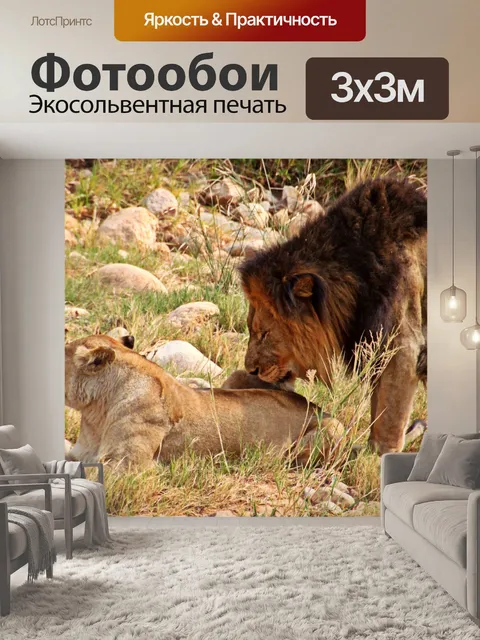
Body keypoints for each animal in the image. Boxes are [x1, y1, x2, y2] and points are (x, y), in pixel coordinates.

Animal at [65, 335, 343, 469]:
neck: (95, 415)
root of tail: (312, 404)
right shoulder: (81, 453)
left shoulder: (125, 465)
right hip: (239, 375)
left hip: (334, 427)